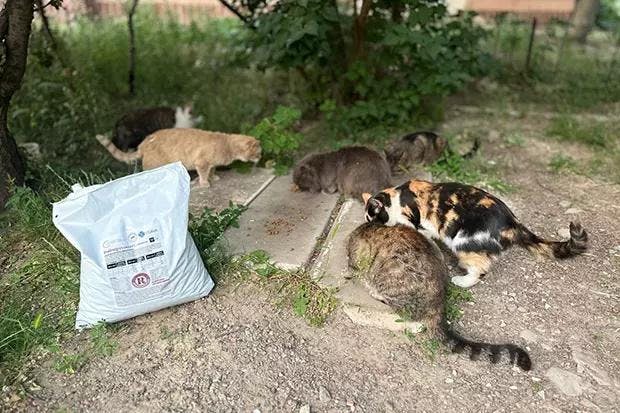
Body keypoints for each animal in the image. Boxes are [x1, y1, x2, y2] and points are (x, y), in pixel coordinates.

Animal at [97, 128, 262, 187]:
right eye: (258, 153)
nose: (260, 158)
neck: (227, 144)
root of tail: (143, 143)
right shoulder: (201, 163)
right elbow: (203, 174)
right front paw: (204, 183)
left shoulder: (211, 164)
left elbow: (212, 170)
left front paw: (213, 178)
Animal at [360, 180, 588, 286]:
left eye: (372, 218)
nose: (370, 226)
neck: (395, 197)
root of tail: (513, 222)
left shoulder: (413, 220)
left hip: (463, 241)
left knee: (481, 270)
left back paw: (461, 281)